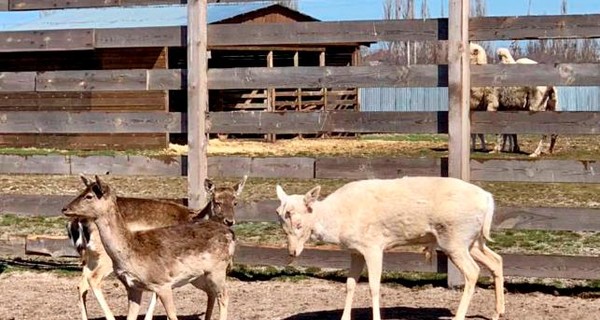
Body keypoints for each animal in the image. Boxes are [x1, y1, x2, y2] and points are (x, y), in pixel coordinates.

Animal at [69, 175, 247, 320]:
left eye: (235, 202)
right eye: (217, 202)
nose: (66, 208)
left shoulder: (163, 282)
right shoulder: (139, 286)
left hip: (215, 271)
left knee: (222, 295)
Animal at [276, 176, 506, 320]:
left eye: (298, 223)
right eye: (280, 220)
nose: (292, 252)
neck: (338, 220)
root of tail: (488, 198)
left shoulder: (373, 245)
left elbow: (374, 286)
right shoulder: (355, 251)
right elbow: (350, 284)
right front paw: (344, 317)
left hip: (455, 238)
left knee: (473, 271)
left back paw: (459, 316)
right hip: (473, 240)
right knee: (496, 260)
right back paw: (497, 313)